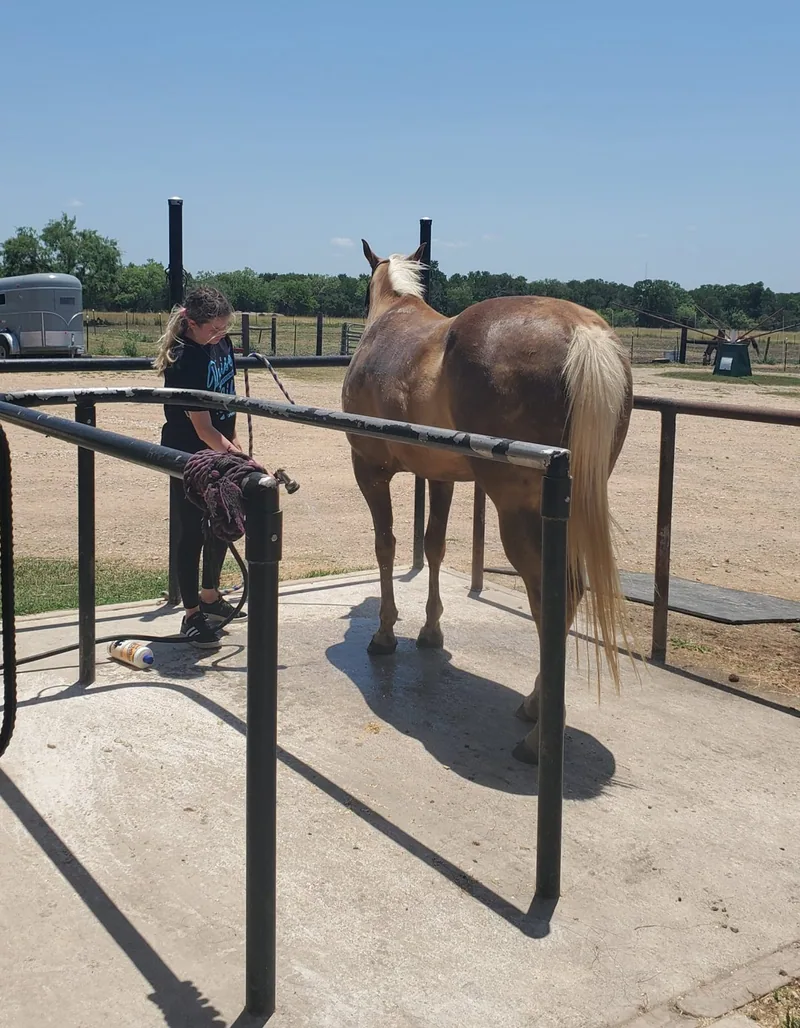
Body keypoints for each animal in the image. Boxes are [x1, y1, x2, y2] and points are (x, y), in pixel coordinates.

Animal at [341, 240, 634, 763]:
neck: (390, 317)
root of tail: (584, 332)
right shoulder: (440, 477)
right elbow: (434, 546)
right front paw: (430, 632)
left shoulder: (369, 471)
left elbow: (386, 546)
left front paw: (384, 633)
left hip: (519, 515)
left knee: (554, 597)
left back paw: (538, 731)